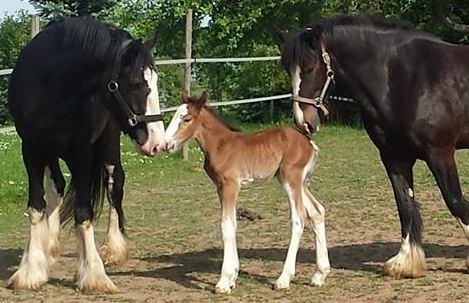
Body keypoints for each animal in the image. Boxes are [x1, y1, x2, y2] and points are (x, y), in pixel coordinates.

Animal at [6, 17, 165, 294]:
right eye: (137, 83)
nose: (157, 142)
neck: (52, 87)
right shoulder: (31, 149)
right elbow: (36, 205)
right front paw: (30, 271)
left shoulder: (80, 152)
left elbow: (84, 212)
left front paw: (94, 275)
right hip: (51, 151)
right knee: (57, 186)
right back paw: (49, 245)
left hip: (108, 141)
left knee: (115, 183)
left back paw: (113, 248)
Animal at [165, 92, 330, 294]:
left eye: (186, 118)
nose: (166, 144)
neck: (221, 145)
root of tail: (309, 142)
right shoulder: (221, 187)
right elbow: (233, 224)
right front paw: (232, 278)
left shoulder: (230, 186)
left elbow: (226, 226)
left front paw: (223, 281)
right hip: (298, 182)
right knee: (317, 211)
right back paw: (319, 275)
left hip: (291, 179)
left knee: (299, 218)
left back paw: (283, 279)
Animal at [276, 14, 469, 280]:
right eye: (288, 70)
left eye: (309, 67)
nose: (303, 121)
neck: (405, 78)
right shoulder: (394, 157)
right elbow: (405, 205)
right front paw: (405, 263)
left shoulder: (440, 152)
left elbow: (455, 202)